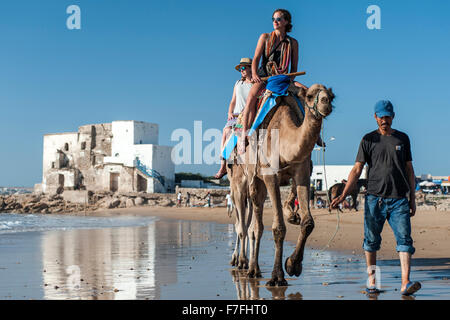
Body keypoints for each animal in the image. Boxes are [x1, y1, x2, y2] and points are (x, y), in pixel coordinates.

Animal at [232, 83, 334, 284]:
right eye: (310, 96)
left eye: (332, 96)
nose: (326, 103)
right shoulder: (270, 174)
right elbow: (278, 228)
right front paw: (277, 276)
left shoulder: (302, 172)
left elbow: (308, 223)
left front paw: (293, 265)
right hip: (245, 181)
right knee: (251, 227)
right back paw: (249, 267)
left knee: (253, 225)